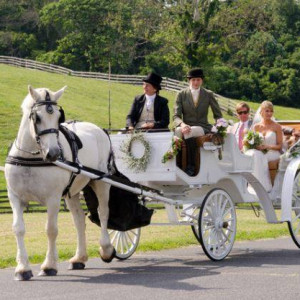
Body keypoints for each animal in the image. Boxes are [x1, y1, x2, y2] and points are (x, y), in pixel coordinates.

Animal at [4, 85, 115, 280]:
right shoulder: (15, 197)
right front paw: (23, 268)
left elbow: (51, 230)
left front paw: (49, 265)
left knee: (103, 213)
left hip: (101, 182)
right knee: (79, 219)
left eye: (58, 117)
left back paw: (106, 249)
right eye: (37, 117)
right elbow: (18, 228)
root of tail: (100, 129)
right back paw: (79, 258)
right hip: (72, 191)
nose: (54, 153)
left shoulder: (53, 198)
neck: (32, 159)